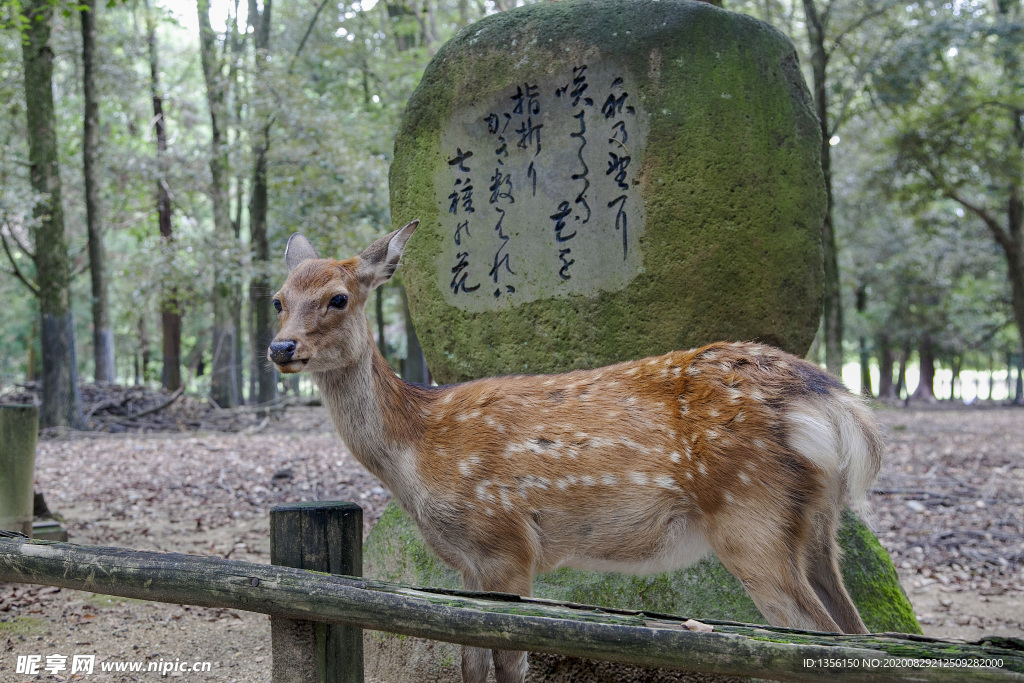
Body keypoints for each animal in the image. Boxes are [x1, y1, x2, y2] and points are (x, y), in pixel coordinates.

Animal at [268, 222, 884, 679]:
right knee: (860, 634)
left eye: (338, 298)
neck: (416, 449)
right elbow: (470, 662)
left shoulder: (506, 543)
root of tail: (834, 403)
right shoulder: (468, 564)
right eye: (278, 299)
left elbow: (510, 663)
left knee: (820, 640)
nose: (280, 347)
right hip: (814, 525)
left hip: (749, 517)